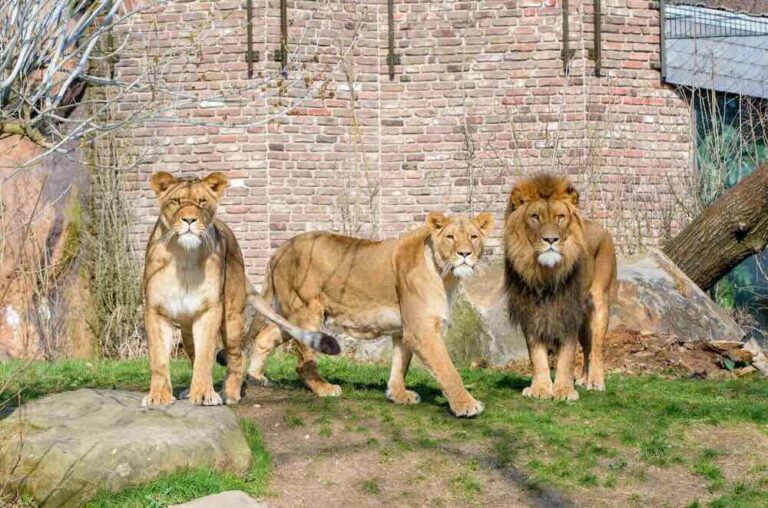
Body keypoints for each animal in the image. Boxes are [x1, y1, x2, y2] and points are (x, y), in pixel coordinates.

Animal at [142, 171, 339, 407]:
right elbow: (159, 359)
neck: (184, 257)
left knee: (237, 357)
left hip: (232, 317)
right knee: (194, 354)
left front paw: (205, 394)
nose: (189, 219)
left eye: (202, 202)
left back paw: (230, 394)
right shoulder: (155, 310)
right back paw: (190, 391)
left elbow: (205, 357)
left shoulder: (211, 310)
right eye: (177, 201)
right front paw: (159, 396)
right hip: (188, 328)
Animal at [240, 212, 495, 417]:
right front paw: (466, 405)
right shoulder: (421, 329)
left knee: (267, 334)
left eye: (474, 237)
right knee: (303, 361)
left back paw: (256, 376)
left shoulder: (404, 329)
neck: (446, 275)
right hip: (306, 309)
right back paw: (324, 388)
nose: (465, 253)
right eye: (450, 237)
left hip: (292, 313)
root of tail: (280, 250)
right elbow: (447, 369)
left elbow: (401, 363)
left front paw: (398, 394)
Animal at [503, 174, 617, 401]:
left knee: (597, 347)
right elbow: (537, 356)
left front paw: (564, 391)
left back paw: (595, 382)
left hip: (600, 302)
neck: (546, 273)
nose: (551, 239)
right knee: (588, 345)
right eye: (535, 217)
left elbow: (567, 356)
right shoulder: (531, 313)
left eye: (560, 217)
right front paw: (540, 389)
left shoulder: (568, 312)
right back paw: (583, 379)